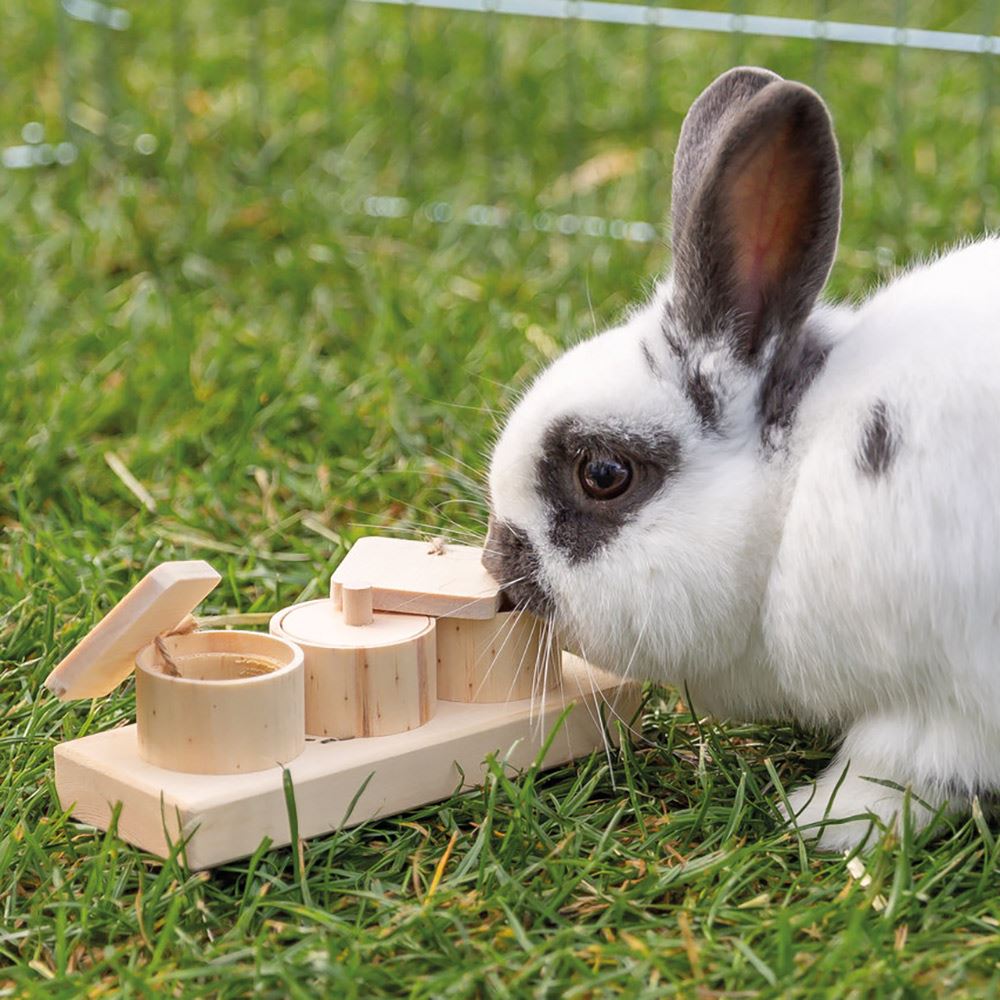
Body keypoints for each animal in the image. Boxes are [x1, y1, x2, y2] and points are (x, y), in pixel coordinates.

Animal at [478, 64, 1000, 852]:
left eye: (604, 474)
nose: (495, 563)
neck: (794, 487)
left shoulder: (942, 706)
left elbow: (899, 774)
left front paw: (816, 819)